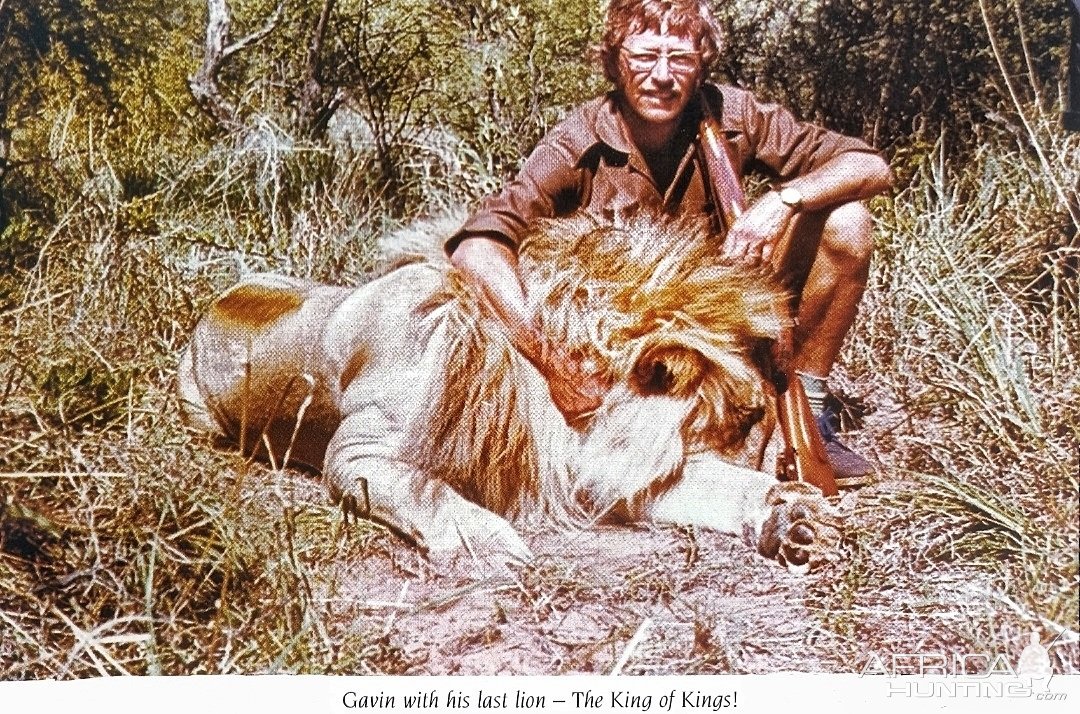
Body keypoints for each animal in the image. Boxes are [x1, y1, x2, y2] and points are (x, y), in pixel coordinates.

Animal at [177, 210, 838, 566]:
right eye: (741, 420)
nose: (770, 435)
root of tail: (217, 299)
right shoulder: (357, 453)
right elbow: (426, 490)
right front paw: (491, 541)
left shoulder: (595, 469)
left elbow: (725, 486)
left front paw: (792, 516)